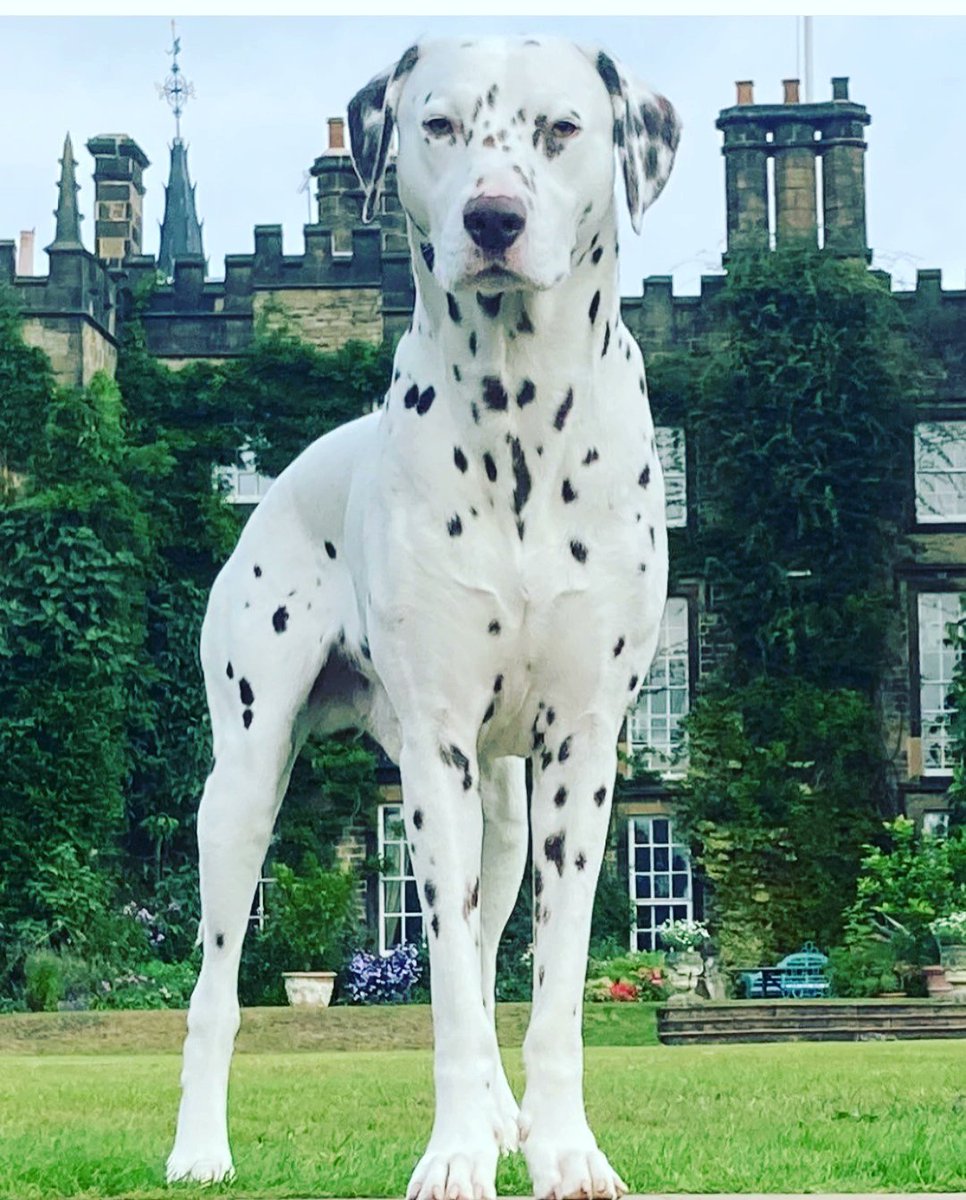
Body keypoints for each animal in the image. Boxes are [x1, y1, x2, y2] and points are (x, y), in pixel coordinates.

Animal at [167, 35, 679, 1200]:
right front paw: (453, 1157)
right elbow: (443, 989)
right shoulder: (432, 761)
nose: (492, 218)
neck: (520, 419)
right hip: (245, 788)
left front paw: (562, 1147)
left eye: (562, 128)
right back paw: (199, 1148)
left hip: (505, 818)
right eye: (438, 125)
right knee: (217, 985)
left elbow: (550, 990)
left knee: (489, 959)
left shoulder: (582, 757)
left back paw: (504, 1119)